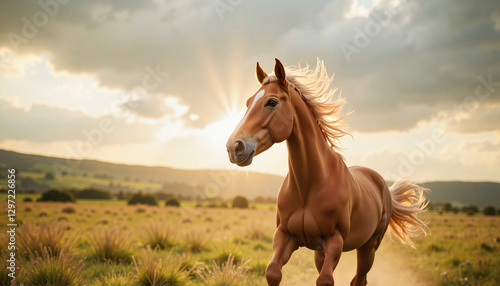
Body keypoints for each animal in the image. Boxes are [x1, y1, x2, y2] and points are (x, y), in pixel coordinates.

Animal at [225, 58, 428, 286]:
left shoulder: (334, 241)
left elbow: (325, 280)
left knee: (360, 279)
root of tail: (385, 188)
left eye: (272, 102)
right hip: (320, 253)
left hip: (368, 247)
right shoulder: (285, 236)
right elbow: (273, 272)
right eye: (248, 102)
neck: (310, 184)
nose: (234, 147)